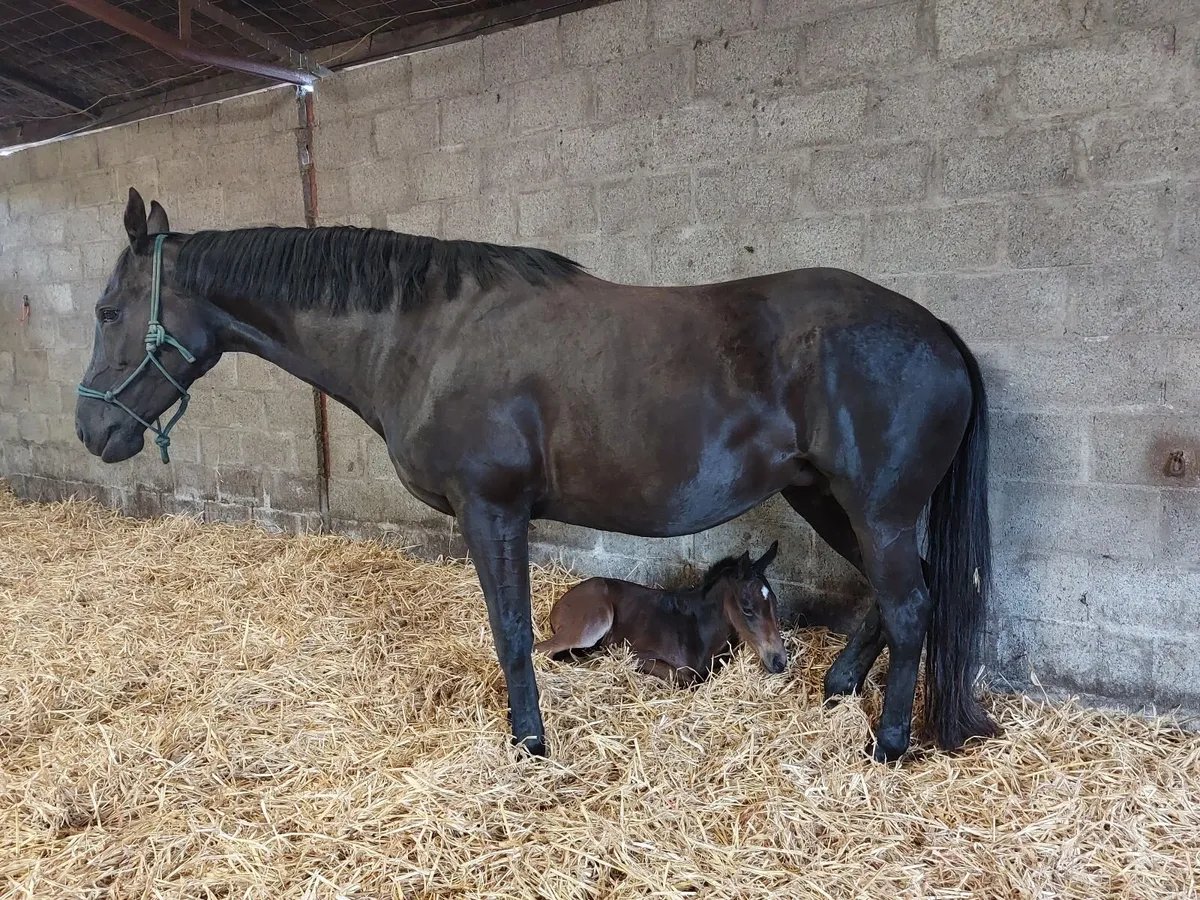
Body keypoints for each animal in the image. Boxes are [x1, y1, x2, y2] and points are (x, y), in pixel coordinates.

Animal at [536, 541, 786, 686]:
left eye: (775, 604)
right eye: (747, 608)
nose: (780, 661)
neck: (698, 631)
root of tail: (561, 601)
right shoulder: (639, 655)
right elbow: (686, 679)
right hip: (592, 624)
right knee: (541, 650)